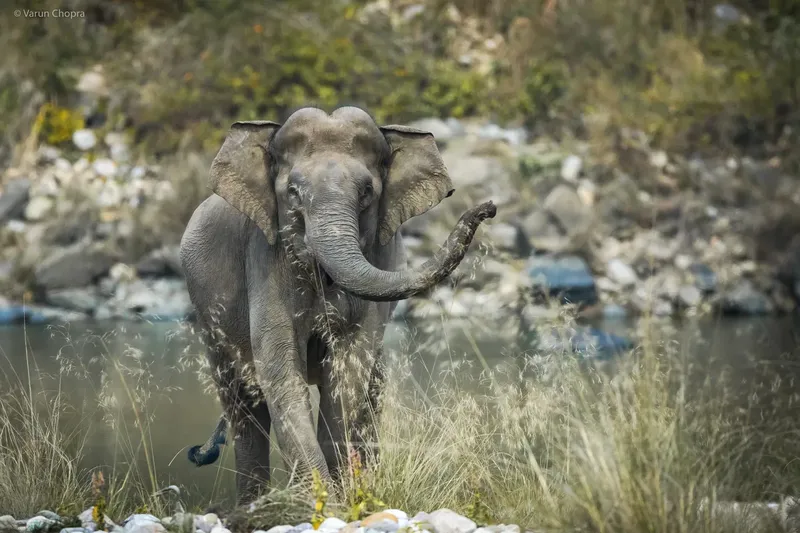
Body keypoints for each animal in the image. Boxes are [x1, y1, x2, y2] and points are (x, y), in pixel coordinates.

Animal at [180, 105, 496, 504]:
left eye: (367, 191)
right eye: (293, 192)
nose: (488, 207)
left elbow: (347, 375)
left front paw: (341, 497)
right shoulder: (265, 258)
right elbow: (281, 373)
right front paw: (324, 500)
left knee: (371, 392)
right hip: (209, 317)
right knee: (244, 405)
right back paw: (253, 504)